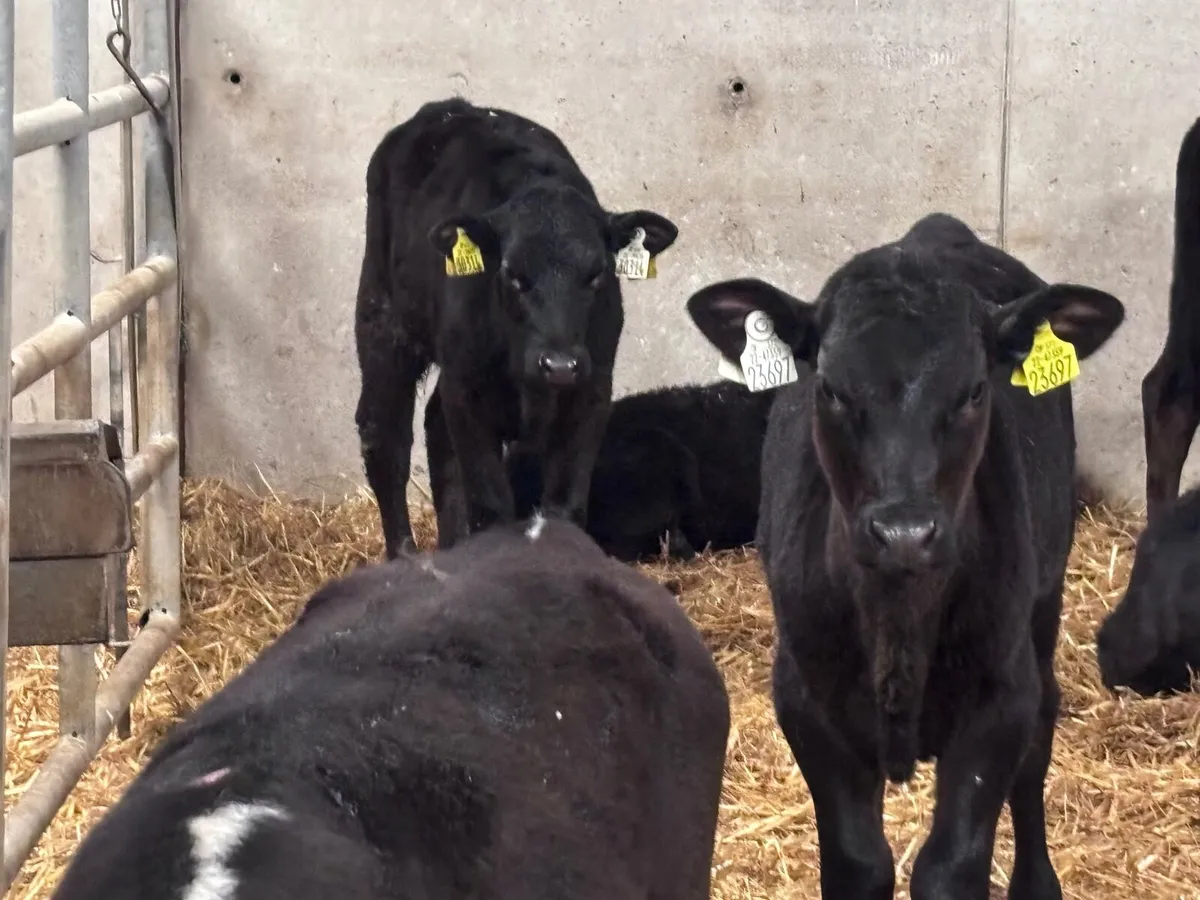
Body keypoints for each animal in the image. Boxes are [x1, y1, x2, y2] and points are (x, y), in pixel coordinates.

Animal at [354, 97, 679, 558]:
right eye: (511, 273)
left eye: (596, 273)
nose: (558, 365)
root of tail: (447, 108)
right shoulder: (468, 392)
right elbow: (492, 507)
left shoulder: (591, 391)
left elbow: (564, 508)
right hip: (384, 317)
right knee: (384, 435)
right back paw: (404, 555)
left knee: (435, 428)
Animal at [684, 212, 1124, 900]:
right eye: (830, 388)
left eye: (974, 391)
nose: (904, 532)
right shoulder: (807, 701)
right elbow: (859, 863)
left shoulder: (1000, 701)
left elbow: (951, 865)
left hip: (1045, 604)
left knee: (1040, 740)